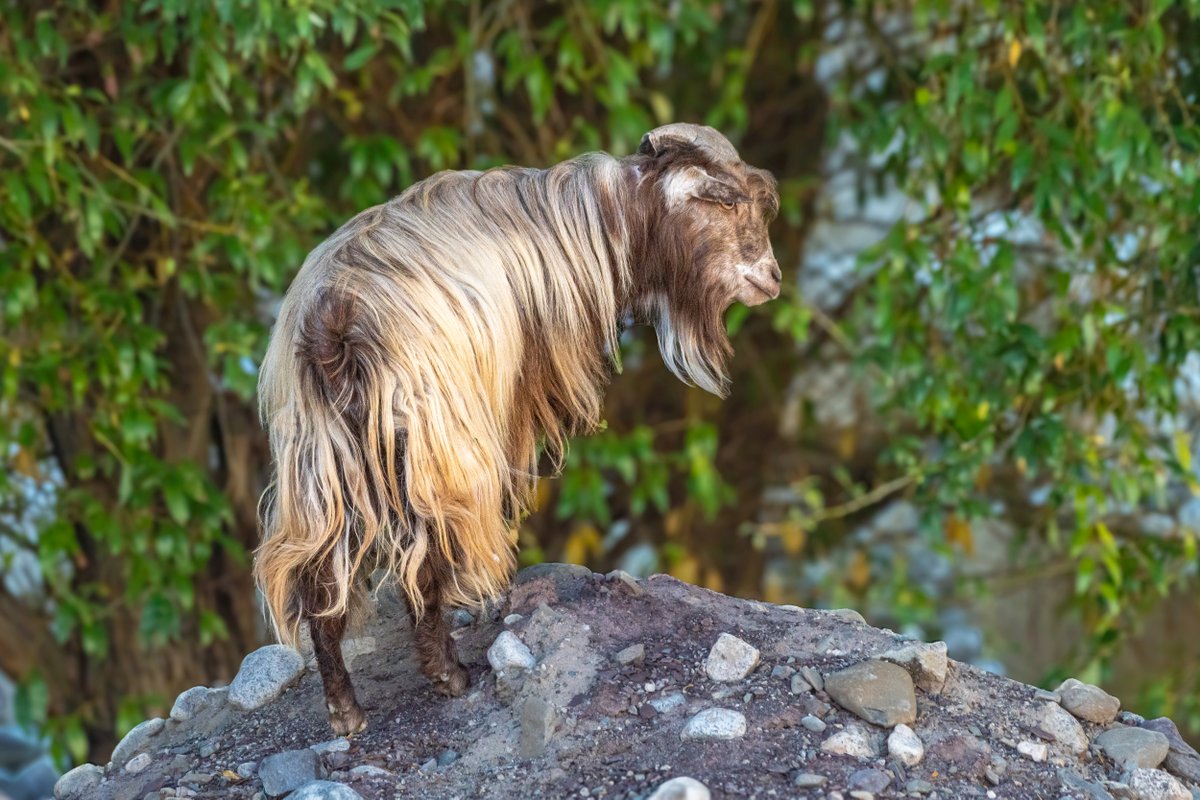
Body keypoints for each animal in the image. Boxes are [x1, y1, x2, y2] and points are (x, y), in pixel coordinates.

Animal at [254, 123, 781, 734]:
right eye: (724, 200)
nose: (771, 278)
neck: (585, 225)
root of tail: (333, 326)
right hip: (437, 444)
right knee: (426, 555)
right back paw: (448, 674)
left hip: (321, 463)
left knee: (321, 581)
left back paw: (346, 711)